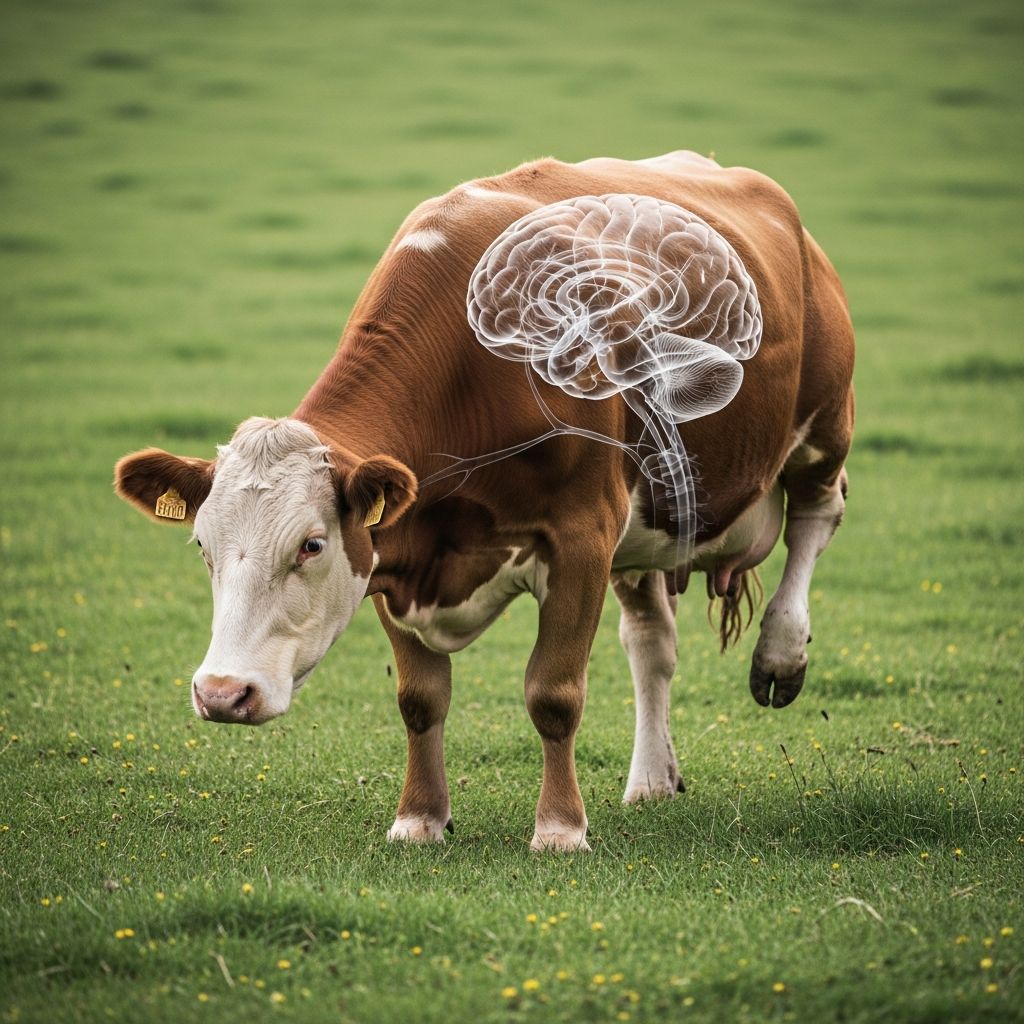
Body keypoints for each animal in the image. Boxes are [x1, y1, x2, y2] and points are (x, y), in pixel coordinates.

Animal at [115, 151, 854, 852]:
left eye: (312, 544)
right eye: (202, 546)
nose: (221, 693)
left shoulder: (582, 538)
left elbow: (554, 693)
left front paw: (560, 830)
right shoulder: (394, 553)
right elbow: (420, 699)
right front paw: (419, 819)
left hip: (824, 428)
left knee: (815, 519)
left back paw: (781, 653)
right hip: (653, 526)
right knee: (652, 644)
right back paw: (651, 779)